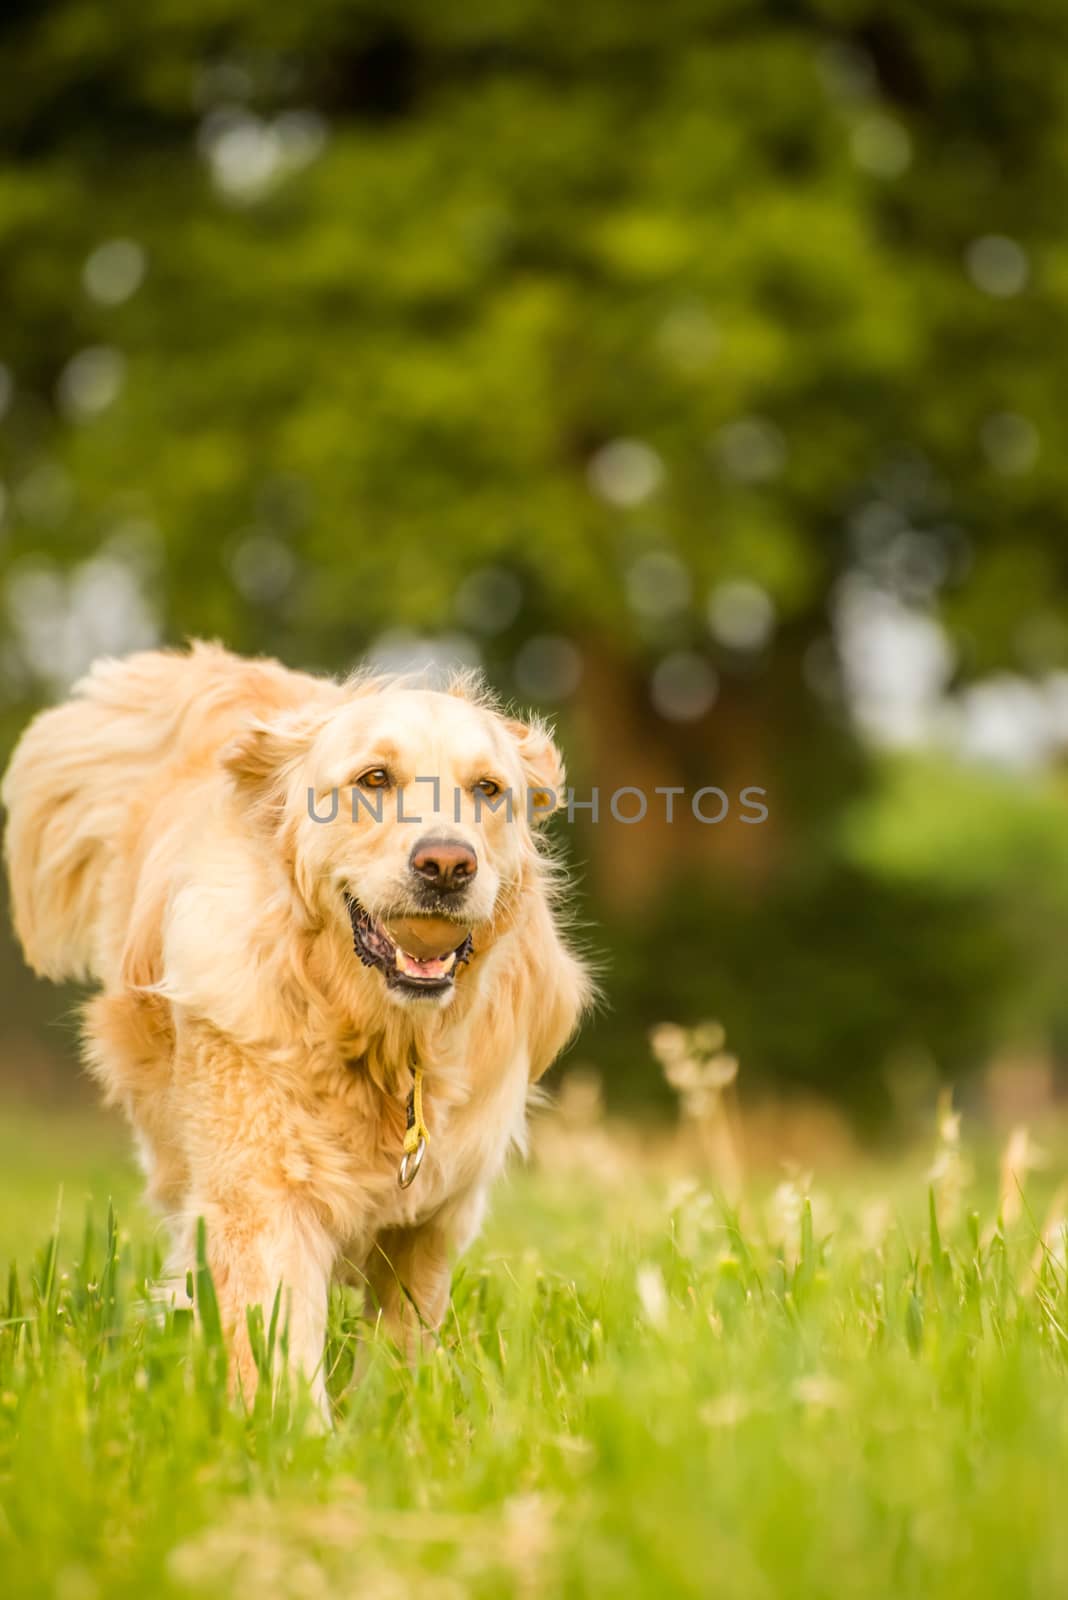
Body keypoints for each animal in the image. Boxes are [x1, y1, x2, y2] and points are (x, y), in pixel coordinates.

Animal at [2, 636, 591, 1414]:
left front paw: (386, 1422)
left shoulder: (434, 1220)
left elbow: (401, 1344)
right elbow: (273, 1342)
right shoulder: (263, 1193)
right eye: (375, 778)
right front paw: (296, 1433)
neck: (384, 1041)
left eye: (489, 790)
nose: (446, 864)